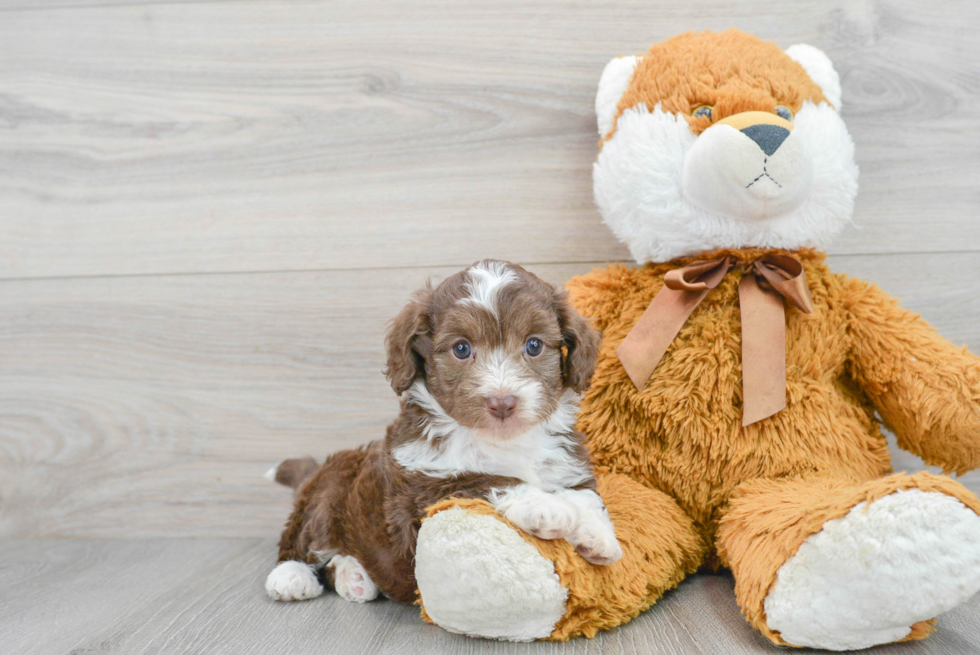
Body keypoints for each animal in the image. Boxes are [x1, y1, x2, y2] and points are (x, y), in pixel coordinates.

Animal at [264, 260, 620, 604]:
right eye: (461, 349)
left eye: (534, 345)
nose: (502, 402)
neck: (501, 441)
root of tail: (319, 469)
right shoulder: (420, 490)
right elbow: (486, 479)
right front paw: (546, 507)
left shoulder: (565, 462)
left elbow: (585, 494)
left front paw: (598, 535)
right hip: (327, 494)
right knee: (304, 538)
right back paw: (291, 576)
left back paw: (356, 577)